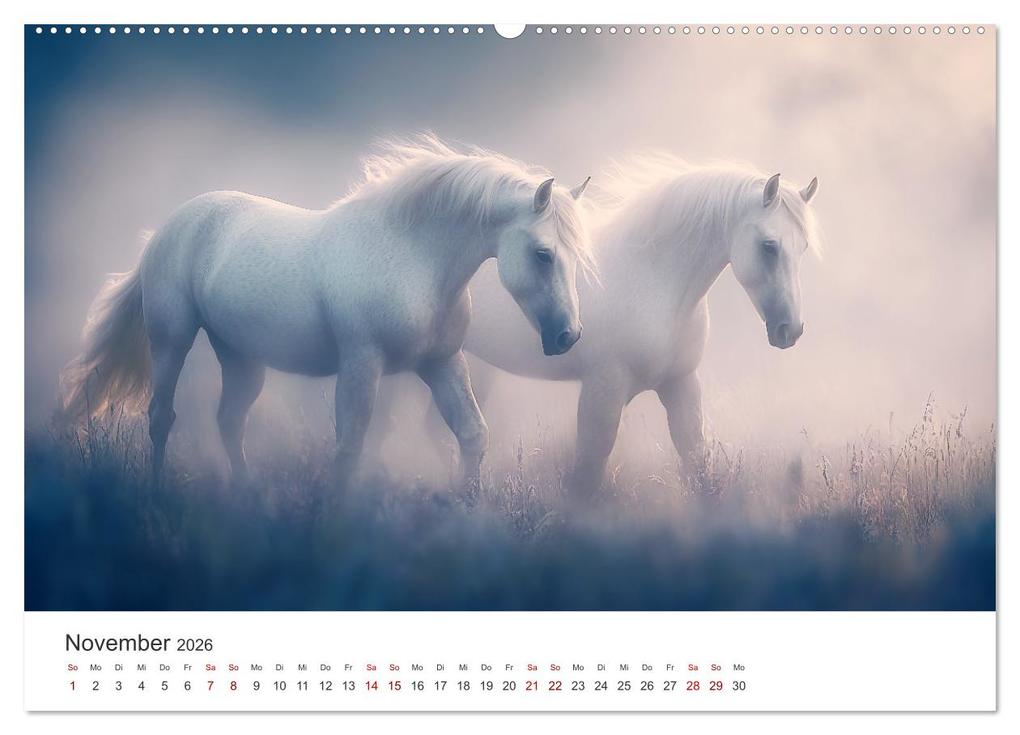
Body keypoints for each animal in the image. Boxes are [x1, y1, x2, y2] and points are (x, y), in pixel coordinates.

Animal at [60, 135, 596, 491]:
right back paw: (158, 495)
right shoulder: (361, 364)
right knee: (161, 417)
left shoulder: (442, 364)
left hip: (240, 356)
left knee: (230, 421)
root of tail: (169, 227)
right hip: (171, 340)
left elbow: (472, 434)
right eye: (543, 254)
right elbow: (350, 448)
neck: (413, 258)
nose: (568, 336)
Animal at [380, 156, 820, 498]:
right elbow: (590, 466)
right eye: (769, 246)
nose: (791, 330)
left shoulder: (681, 383)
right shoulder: (603, 389)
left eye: (802, 248)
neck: (654, 280)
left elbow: (695, 455)